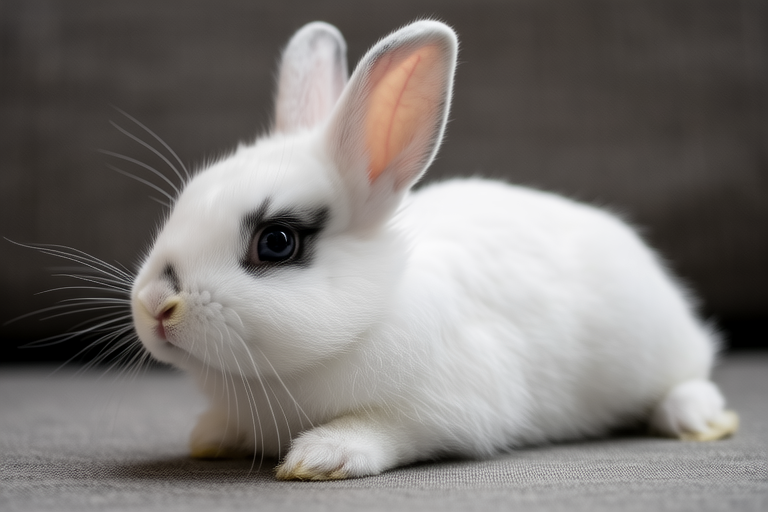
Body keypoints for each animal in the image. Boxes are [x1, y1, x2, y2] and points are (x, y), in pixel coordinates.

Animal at [131, 20, 738, 480]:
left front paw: (322, 457)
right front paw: (211, 437)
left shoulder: (452, 407)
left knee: (690, 376)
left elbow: (387, 429)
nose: (155, 304)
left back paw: (697, 420)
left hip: (659, 351)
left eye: (276, 242)